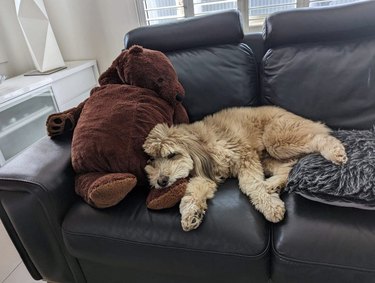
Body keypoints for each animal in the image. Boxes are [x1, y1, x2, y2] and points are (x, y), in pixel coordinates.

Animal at [142, 105, 348, 232]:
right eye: (151, 159)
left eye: (171, 155)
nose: (161, 181)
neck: (201, 145)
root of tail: (309, 121)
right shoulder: (204, 176)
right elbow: (192, 193)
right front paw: (191, 215)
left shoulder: (244, 156)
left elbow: (251, 185)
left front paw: (271, 207)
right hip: (268, 157)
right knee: (289, 167)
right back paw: (272, 185)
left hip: (277, 139)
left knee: (320, 139)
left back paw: (334, 152)